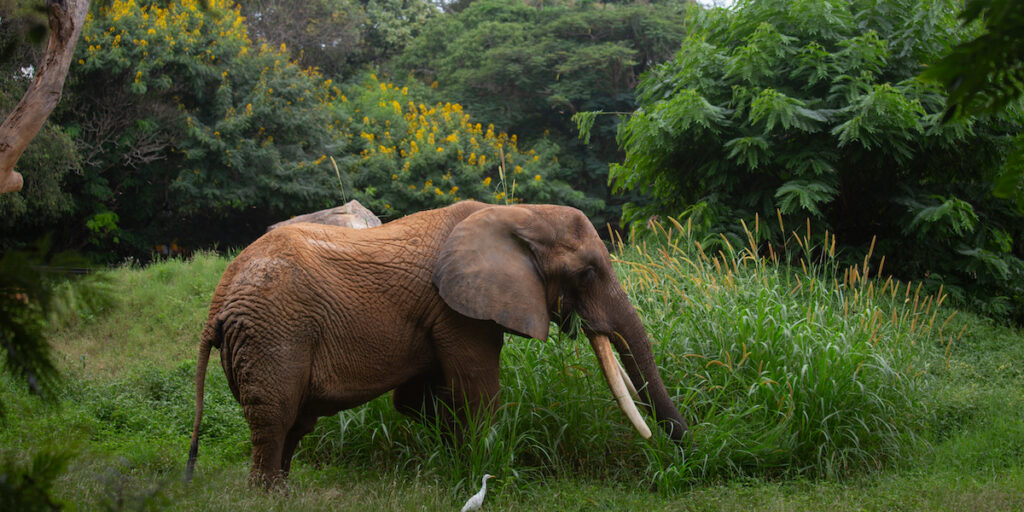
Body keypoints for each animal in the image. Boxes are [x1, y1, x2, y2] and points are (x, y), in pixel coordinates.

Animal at [185, 200, 688, 486]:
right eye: (586, 273)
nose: (682, 453)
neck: (517, 211)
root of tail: (216, 307)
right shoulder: (457, 310)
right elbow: (477, 389)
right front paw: (483, 467)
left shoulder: (441, 312)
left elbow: (418, 399)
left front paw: (458, 462)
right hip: (273, 334)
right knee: (276, 417)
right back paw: (267, 494)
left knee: (295, 423)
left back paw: (284, 491)